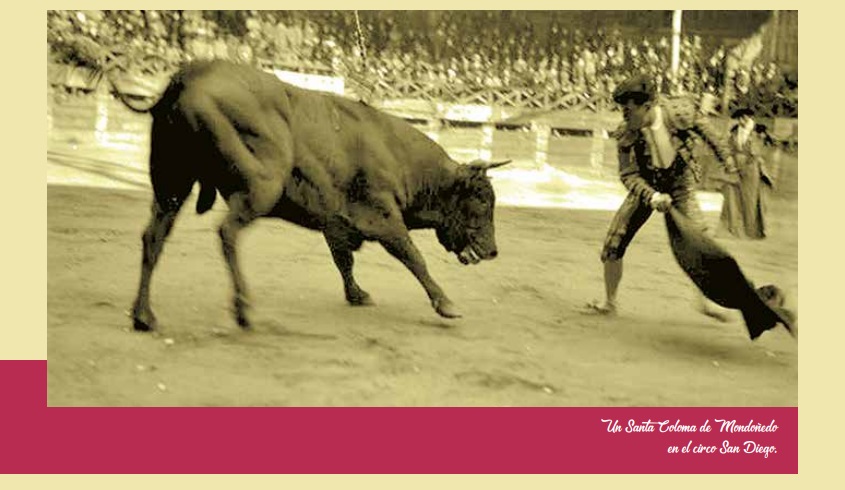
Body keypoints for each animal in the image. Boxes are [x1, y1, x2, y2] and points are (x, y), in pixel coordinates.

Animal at [121, 60, 510, 331]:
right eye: (481, 199)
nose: (493, 250)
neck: (399, 156)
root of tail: (191, 74)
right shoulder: (383, 217)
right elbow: (413, 257)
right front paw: (446, 304)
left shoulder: (336, 224)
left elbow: (344, 261)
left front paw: (357, 295)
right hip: (261, 187)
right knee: (227, 232)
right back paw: (244, 310)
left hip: (172, 185)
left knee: (153, 236)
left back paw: (143, 316)